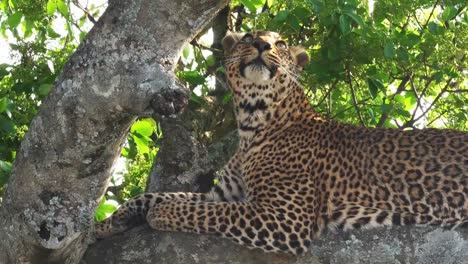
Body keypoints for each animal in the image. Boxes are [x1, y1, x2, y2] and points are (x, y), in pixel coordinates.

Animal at [96, 31, 468, 256]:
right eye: (248, 37)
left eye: (283, 43)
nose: (263, 45)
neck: (252, 124)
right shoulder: (227, 194)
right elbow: (161, 196)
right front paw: (108, 223)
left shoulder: (284, 215)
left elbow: (198, 211)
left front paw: (159, 215)